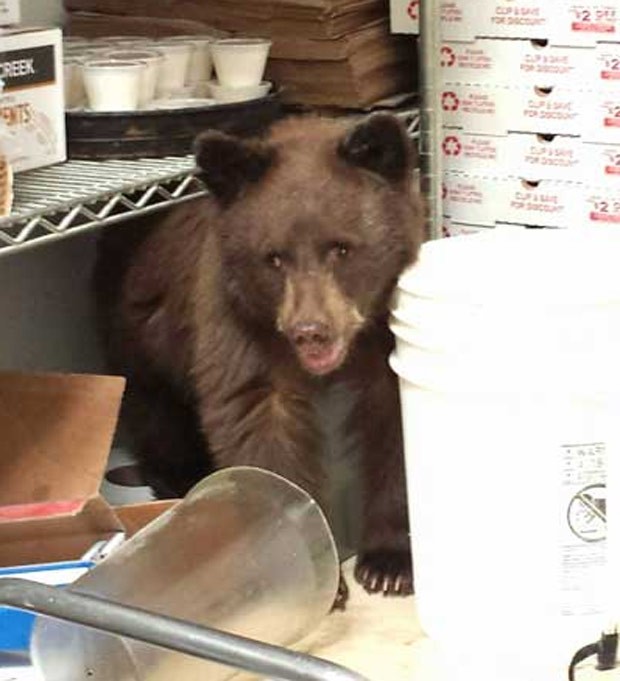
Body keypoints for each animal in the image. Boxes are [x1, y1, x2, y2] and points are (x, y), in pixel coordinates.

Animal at [94, 114, 426, 604]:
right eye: (274, 258)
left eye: (342, 248)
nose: (311, 330)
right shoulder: (238, 327)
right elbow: (257, 421)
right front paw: (312, 567)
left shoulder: (386, 333)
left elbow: (391, 425)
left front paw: (390, 565)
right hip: (143, 341)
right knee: (158, 417)